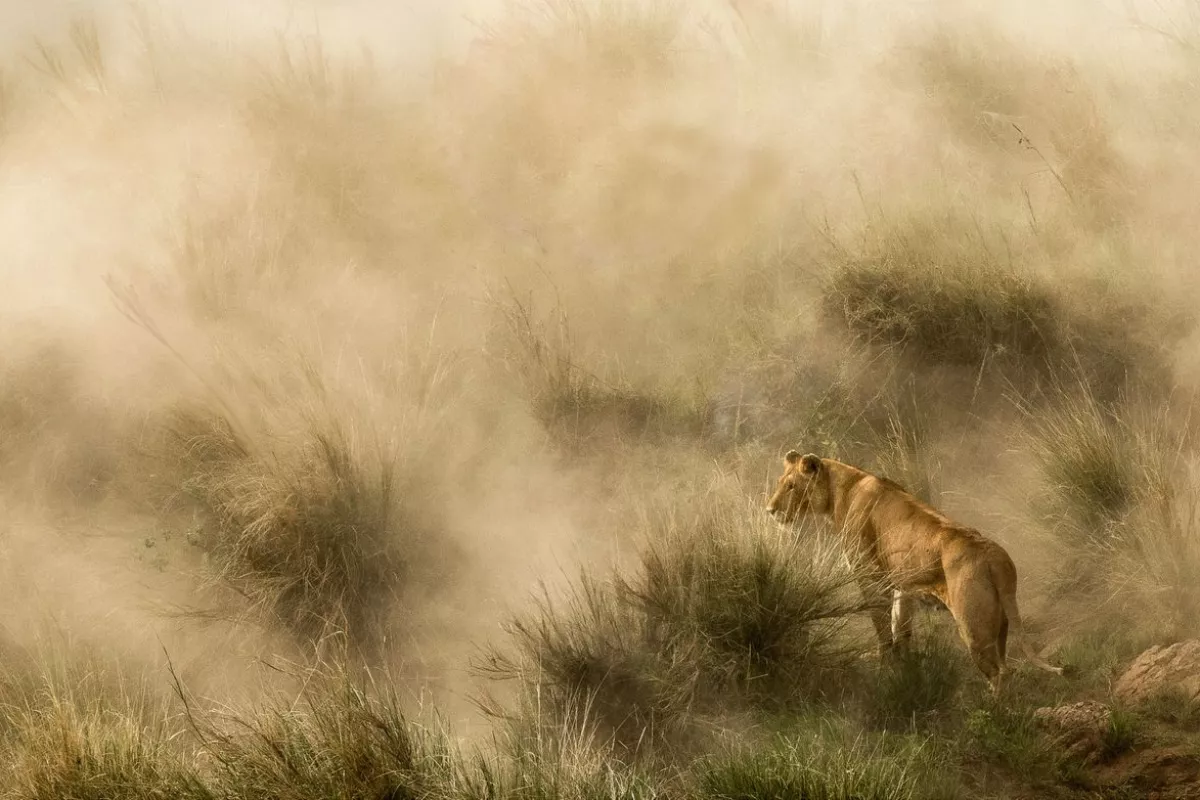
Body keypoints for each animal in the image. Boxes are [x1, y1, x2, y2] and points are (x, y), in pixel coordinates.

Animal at [766, 450, 1062, 693]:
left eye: (791, 486)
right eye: (780, 482)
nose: (770, 510)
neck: (842, 490)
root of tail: (994, 556)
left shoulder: (870, 577)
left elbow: (882, 628)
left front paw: (886, 666)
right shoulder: (902, 585)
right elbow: (901, 627)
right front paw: (904, 668)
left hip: (972, 625)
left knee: (997, 673)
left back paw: (996, 714)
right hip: (1000, 622)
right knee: (1005, 666)